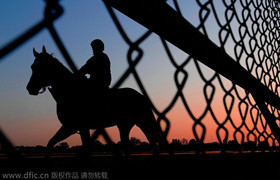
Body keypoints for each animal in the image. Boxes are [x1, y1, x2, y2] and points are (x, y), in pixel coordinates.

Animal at [26, 46, 162, 155]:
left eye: (43, 66)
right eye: (32, 67)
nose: (30, 88)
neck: (70, 90)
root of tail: (141, 96)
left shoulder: (72, 127)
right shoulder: (77, 128)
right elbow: (51, 143)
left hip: (142, 121)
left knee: (152, 140)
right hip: (124, 125)